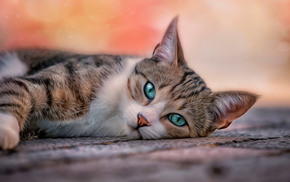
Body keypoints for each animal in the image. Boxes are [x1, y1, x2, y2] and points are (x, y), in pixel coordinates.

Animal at [0, 17, 258, 150]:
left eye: (177, 119)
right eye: (149, 89)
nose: (142, 120)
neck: (110, 115)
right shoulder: (40, 82)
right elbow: (16, 92)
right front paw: (5, 131)